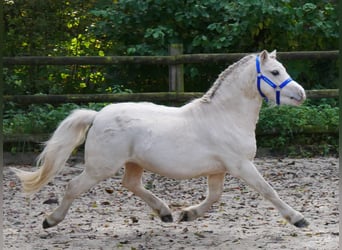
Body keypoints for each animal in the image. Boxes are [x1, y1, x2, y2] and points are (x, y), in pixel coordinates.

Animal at [12, 49, 308, 229]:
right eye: (275, 73)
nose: (301, 94)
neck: (225, 116)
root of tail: (97, 115)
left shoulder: (219, 170)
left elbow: (214, 196)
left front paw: (187, 213)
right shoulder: (241, 165)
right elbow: (268, 190)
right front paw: (298, 219)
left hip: (133, 163)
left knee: (130, 183)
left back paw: (165, 212)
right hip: (101, 167)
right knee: (73, 186)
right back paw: (51, 220)